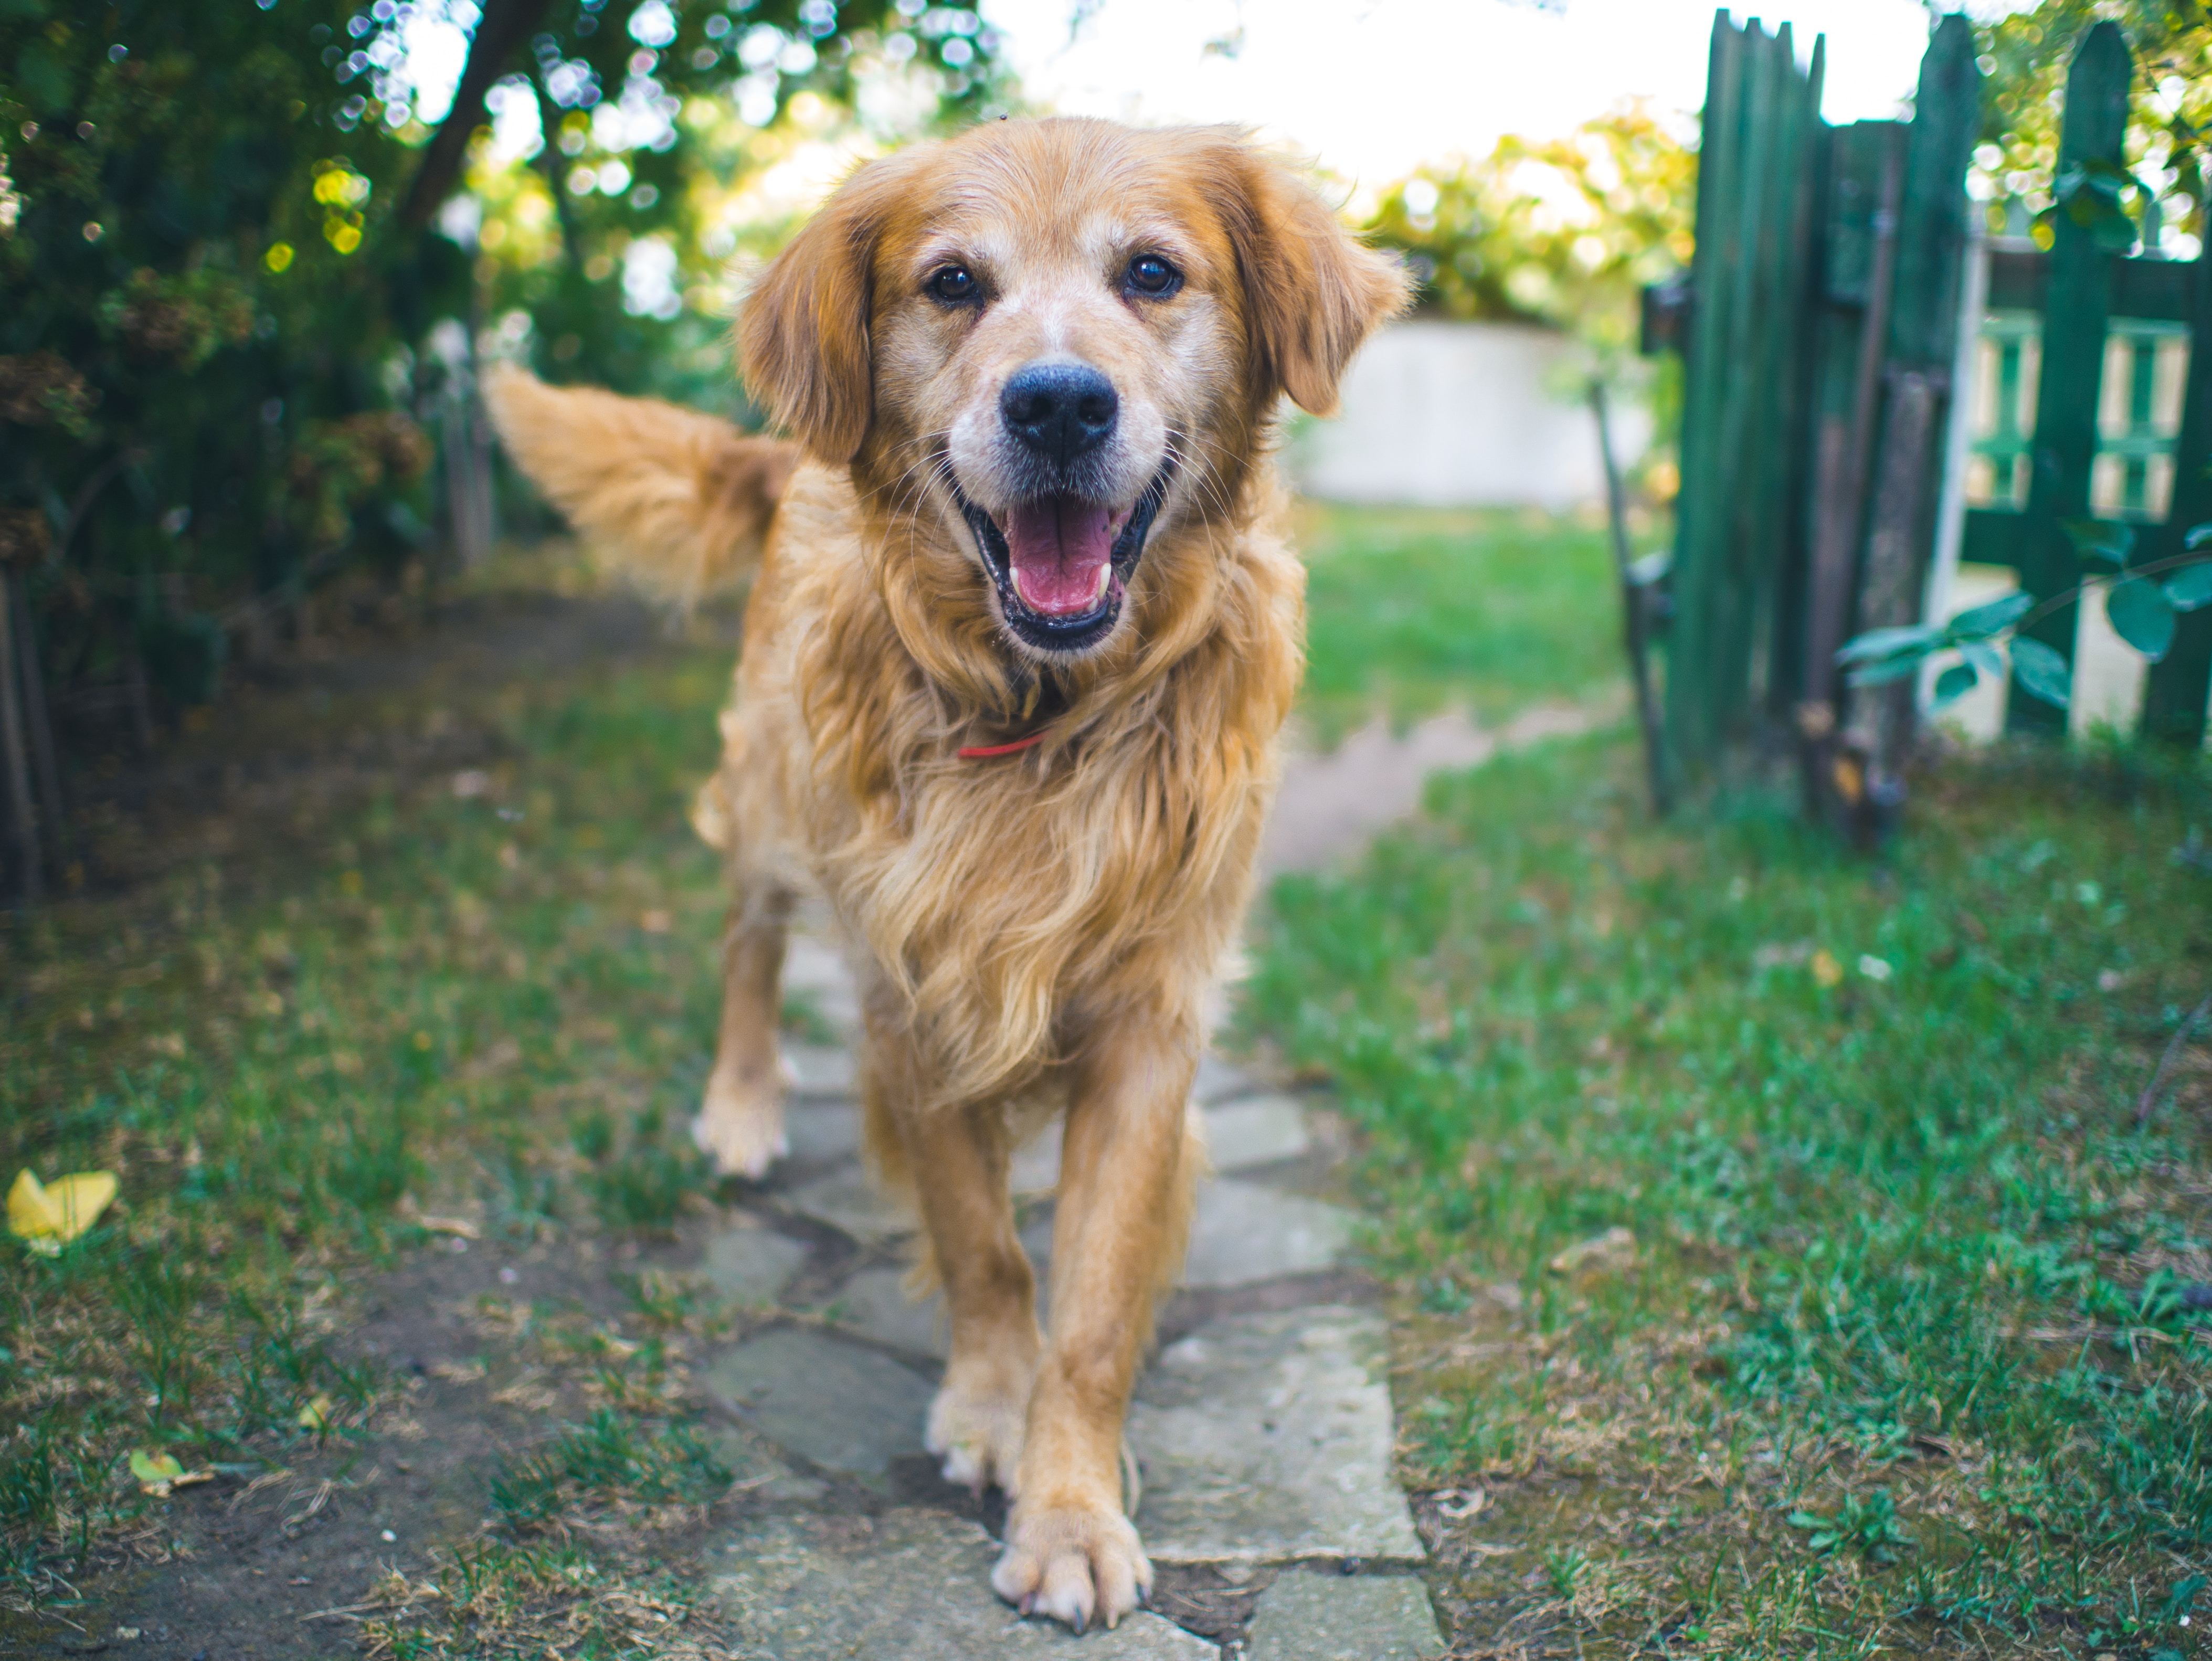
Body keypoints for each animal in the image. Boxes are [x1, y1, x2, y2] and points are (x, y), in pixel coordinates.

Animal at [495, 120, 1406, 1636]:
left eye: (1151, 273)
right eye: (952, 284)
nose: (1058, 407)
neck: (1042, 716)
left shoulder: (1150, 1026)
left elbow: (1088, 1303)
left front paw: (1069, 1503)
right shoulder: (908, 997)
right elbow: (986, 1246)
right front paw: (991, 1407)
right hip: (771, 802)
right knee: (745, 946)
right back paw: (741, 1105)